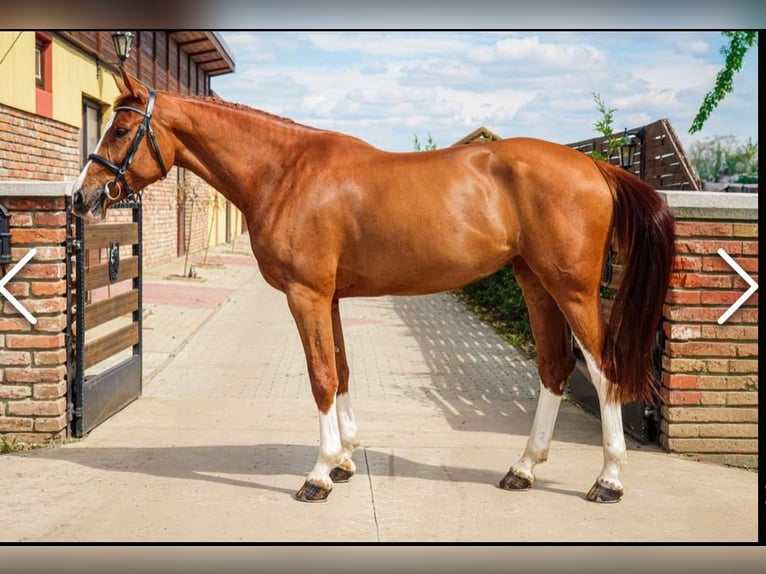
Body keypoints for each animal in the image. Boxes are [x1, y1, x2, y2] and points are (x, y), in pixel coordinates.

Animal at [72, 68, 675, 504]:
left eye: (120, 129)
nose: (82, 197)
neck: (285, 172)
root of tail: (596, 168)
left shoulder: (307, 295)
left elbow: (319, 378)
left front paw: (317, 475)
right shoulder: (332, 298)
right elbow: (340, 371)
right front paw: (343, 460)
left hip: (571, 290)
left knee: (602, 368)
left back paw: (609, 480)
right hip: (536, 284)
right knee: (554, 367)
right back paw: (523, 469)